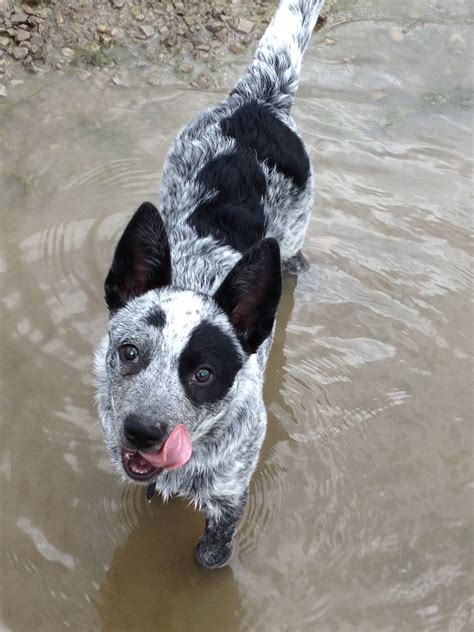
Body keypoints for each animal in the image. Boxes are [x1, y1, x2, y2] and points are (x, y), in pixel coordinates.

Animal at [96, 0, 326, 572]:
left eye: (203, 374)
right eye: (129, 352)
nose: (142, 430)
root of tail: (258, 99)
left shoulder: (229, 497)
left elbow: (209, 557)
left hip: (295, 234)